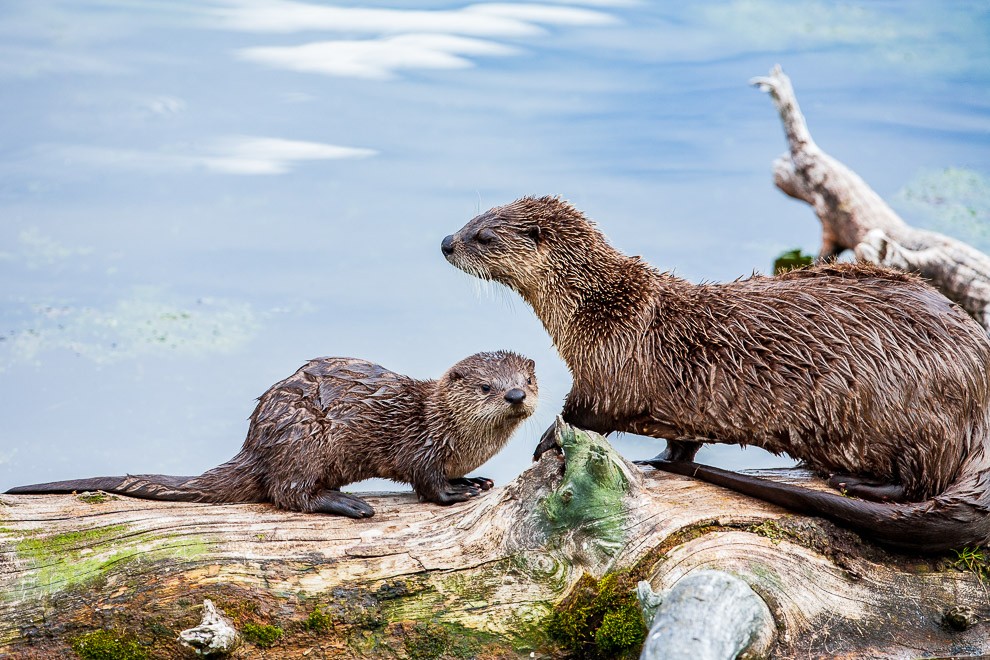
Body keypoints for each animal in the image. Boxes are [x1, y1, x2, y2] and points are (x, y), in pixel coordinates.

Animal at [7, 354, 540, 520]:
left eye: (528, 379)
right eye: (486, 386)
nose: (515, 394)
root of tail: (254, 445)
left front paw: (476, 481)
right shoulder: (420, 444)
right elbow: (426, 482)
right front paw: (456, 491)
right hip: (302, 437)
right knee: (287, 492)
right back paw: (348, 503)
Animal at [444, 196, 990, 552]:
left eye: (484, 236)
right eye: (470, 218)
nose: (448, 241)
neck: (599, 312)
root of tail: (977, 391)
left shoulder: (612, 369)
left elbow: (587, 413)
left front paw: (544, 445)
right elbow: (682, 440)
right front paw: (662, 461)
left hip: (907, 409)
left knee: (923, 478)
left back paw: (856, 481)